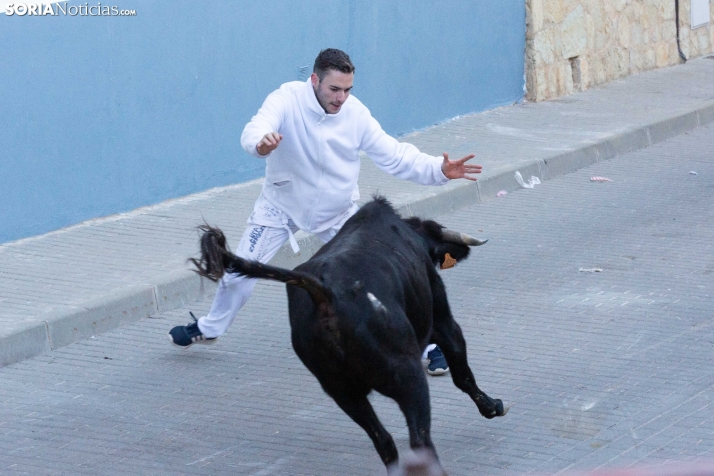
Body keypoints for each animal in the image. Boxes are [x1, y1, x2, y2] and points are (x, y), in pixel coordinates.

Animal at [189, 197, 506, 472]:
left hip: (341, 391)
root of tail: (324, 292)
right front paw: (493, 406)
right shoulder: (443, 320)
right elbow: (462, 372)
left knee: (384, 441)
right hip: (407, 375)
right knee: (419, 440)